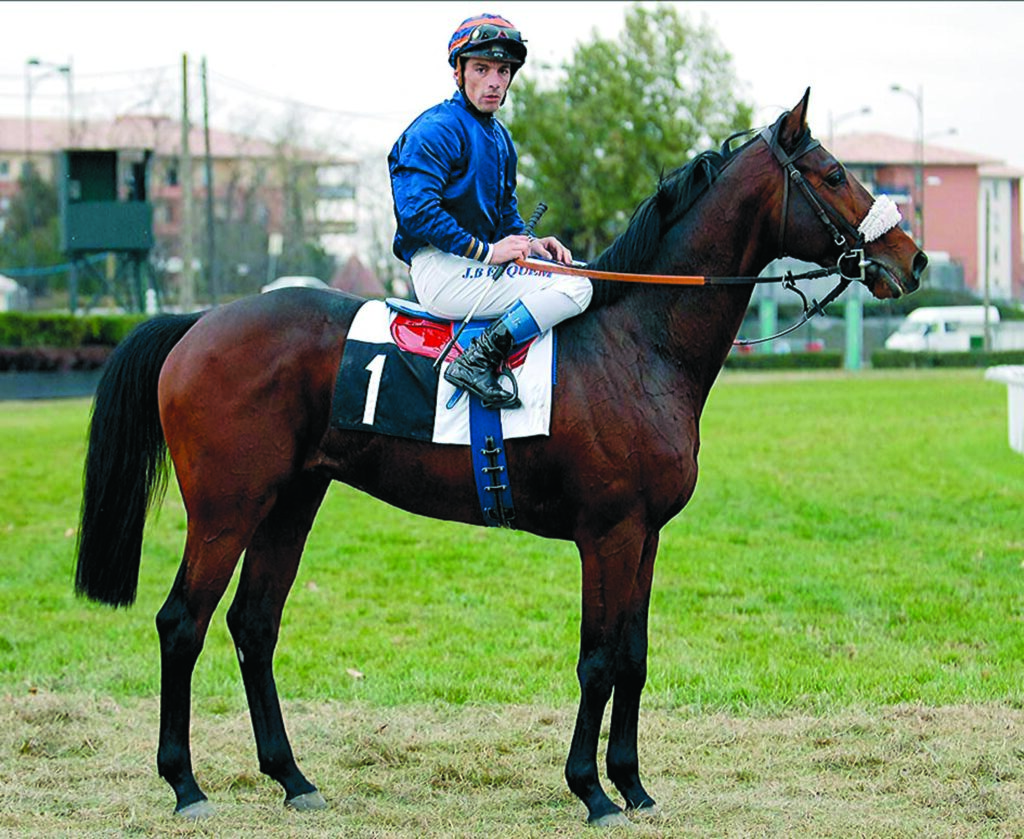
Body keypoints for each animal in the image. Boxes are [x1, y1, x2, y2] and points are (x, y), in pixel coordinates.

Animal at [74, 89, 925, 827]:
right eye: (835, 173)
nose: (913, 260)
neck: (638, 340)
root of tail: (198, 322)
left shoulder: (647, 534)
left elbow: (635, 655)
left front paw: (634, 784)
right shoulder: (608, 532)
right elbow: (598, 659)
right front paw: (592, 790)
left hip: (290, 502)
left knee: (254, 625)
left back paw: (292, 776)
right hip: (226, 509)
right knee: (182, 622)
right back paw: (185, 783)